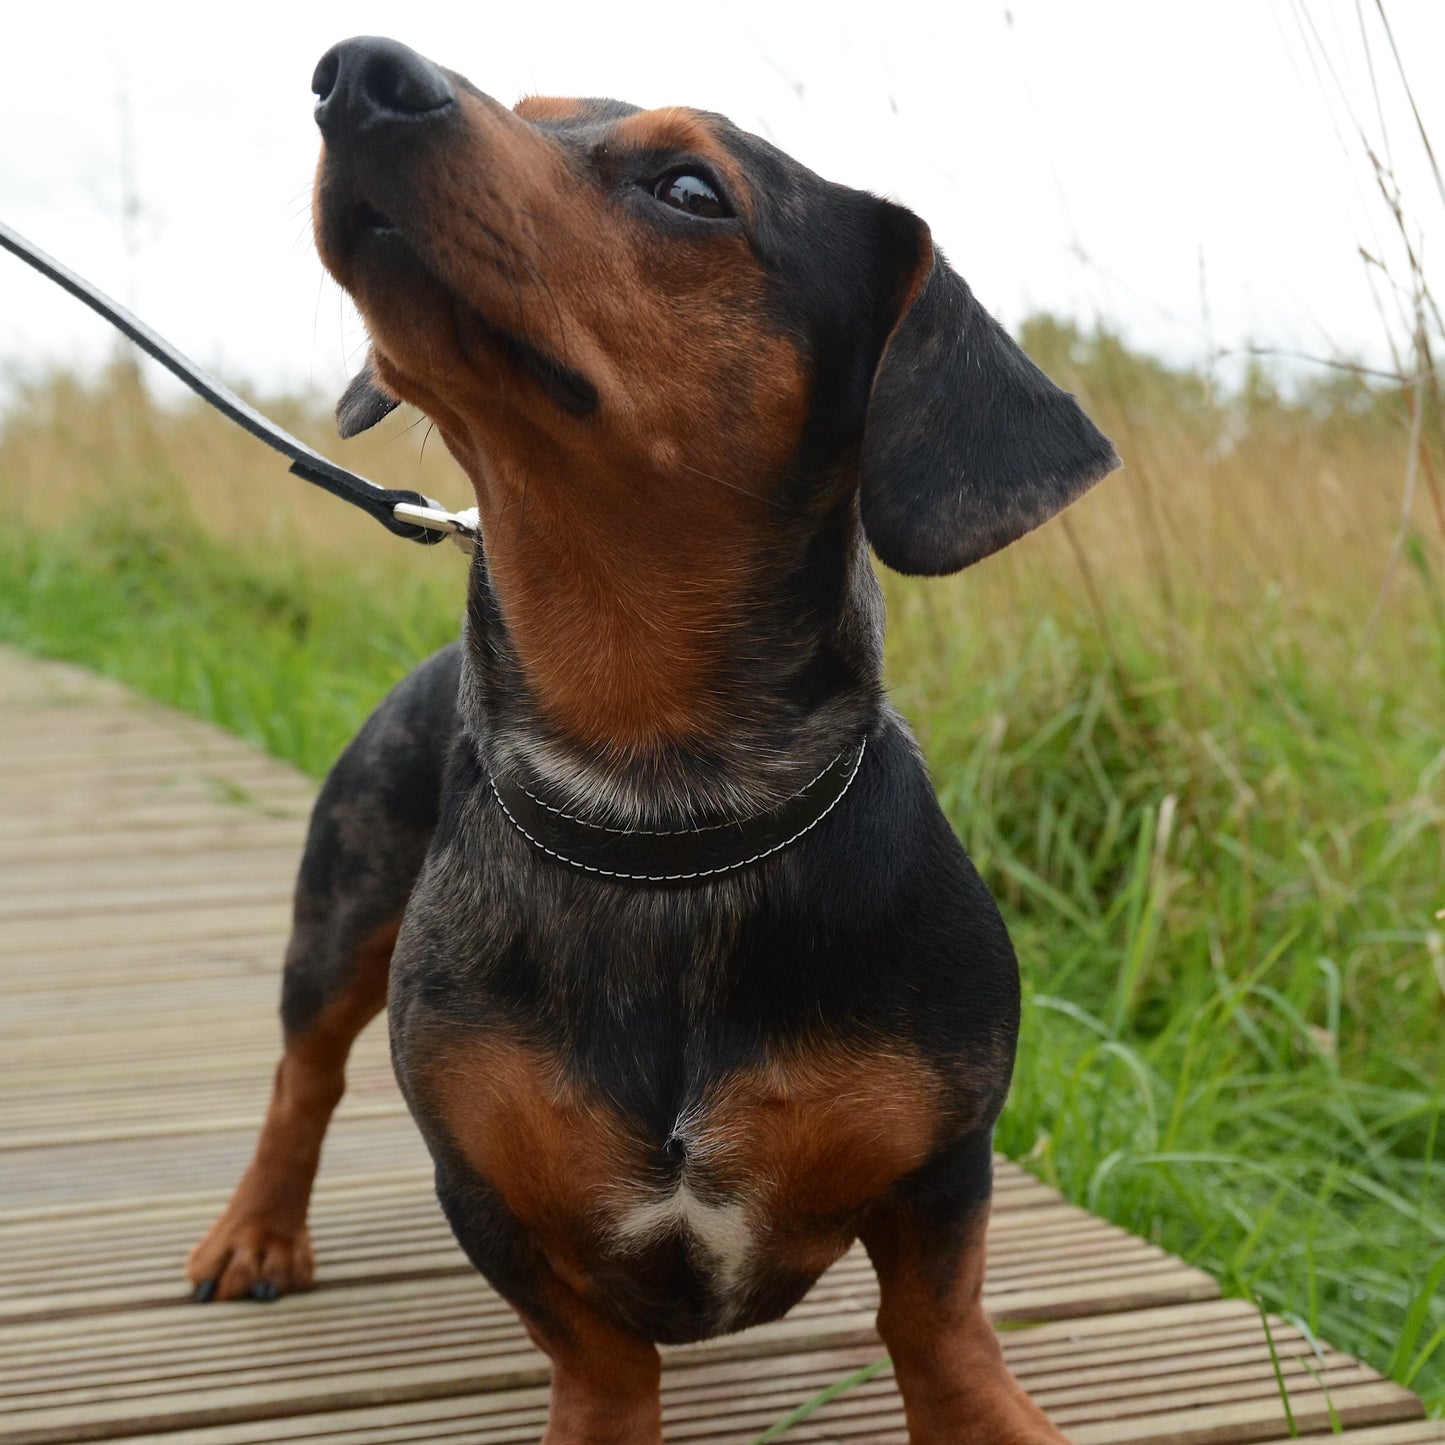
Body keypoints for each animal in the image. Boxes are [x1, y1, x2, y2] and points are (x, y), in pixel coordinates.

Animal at [186, 36, 1121, 1445]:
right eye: (528, 114)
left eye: (689, 189)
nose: (355, 71)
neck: (665, 820)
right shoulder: (487, 1194)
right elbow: (602, 1355)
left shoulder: (942, 1163)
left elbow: (938, 1324)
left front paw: (987, 1413)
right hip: (339, 917)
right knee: (303, 1080)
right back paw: (256, 1227)